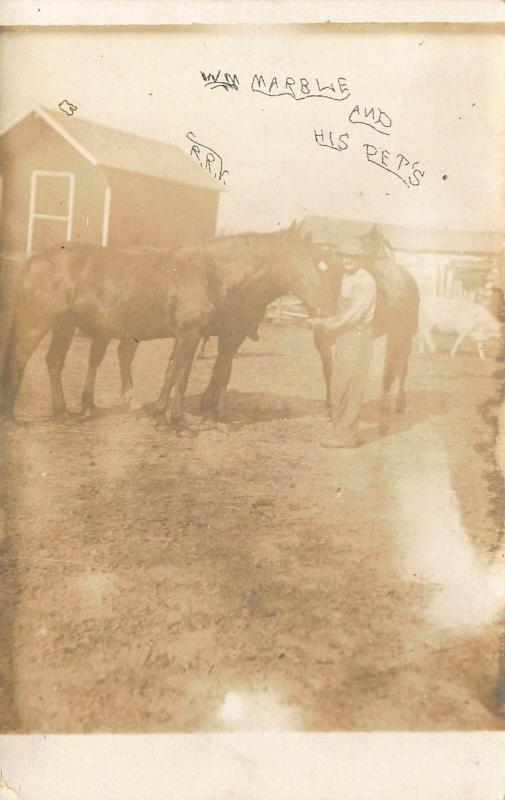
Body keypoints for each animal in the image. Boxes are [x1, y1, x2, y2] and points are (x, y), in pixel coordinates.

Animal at [0, 222, 332, 428]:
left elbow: (182, 373)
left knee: (54, 362)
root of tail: (33, 260)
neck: (211, 273)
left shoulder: (197, 336)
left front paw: (168, 416)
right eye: (296, 259)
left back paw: (64, 413)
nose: (324, 300)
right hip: (39, 323)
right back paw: (13, 418)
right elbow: (182, 375)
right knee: (19, 360)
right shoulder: (193, 334)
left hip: (65, 326)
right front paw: (180, 422)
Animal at [314, 225, 420, 424]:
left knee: (402, 367)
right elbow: (329, 372)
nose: (398, 297)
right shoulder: (324, 344)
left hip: (404, 335)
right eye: (379, 258)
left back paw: (399, 405)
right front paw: (329, 408)